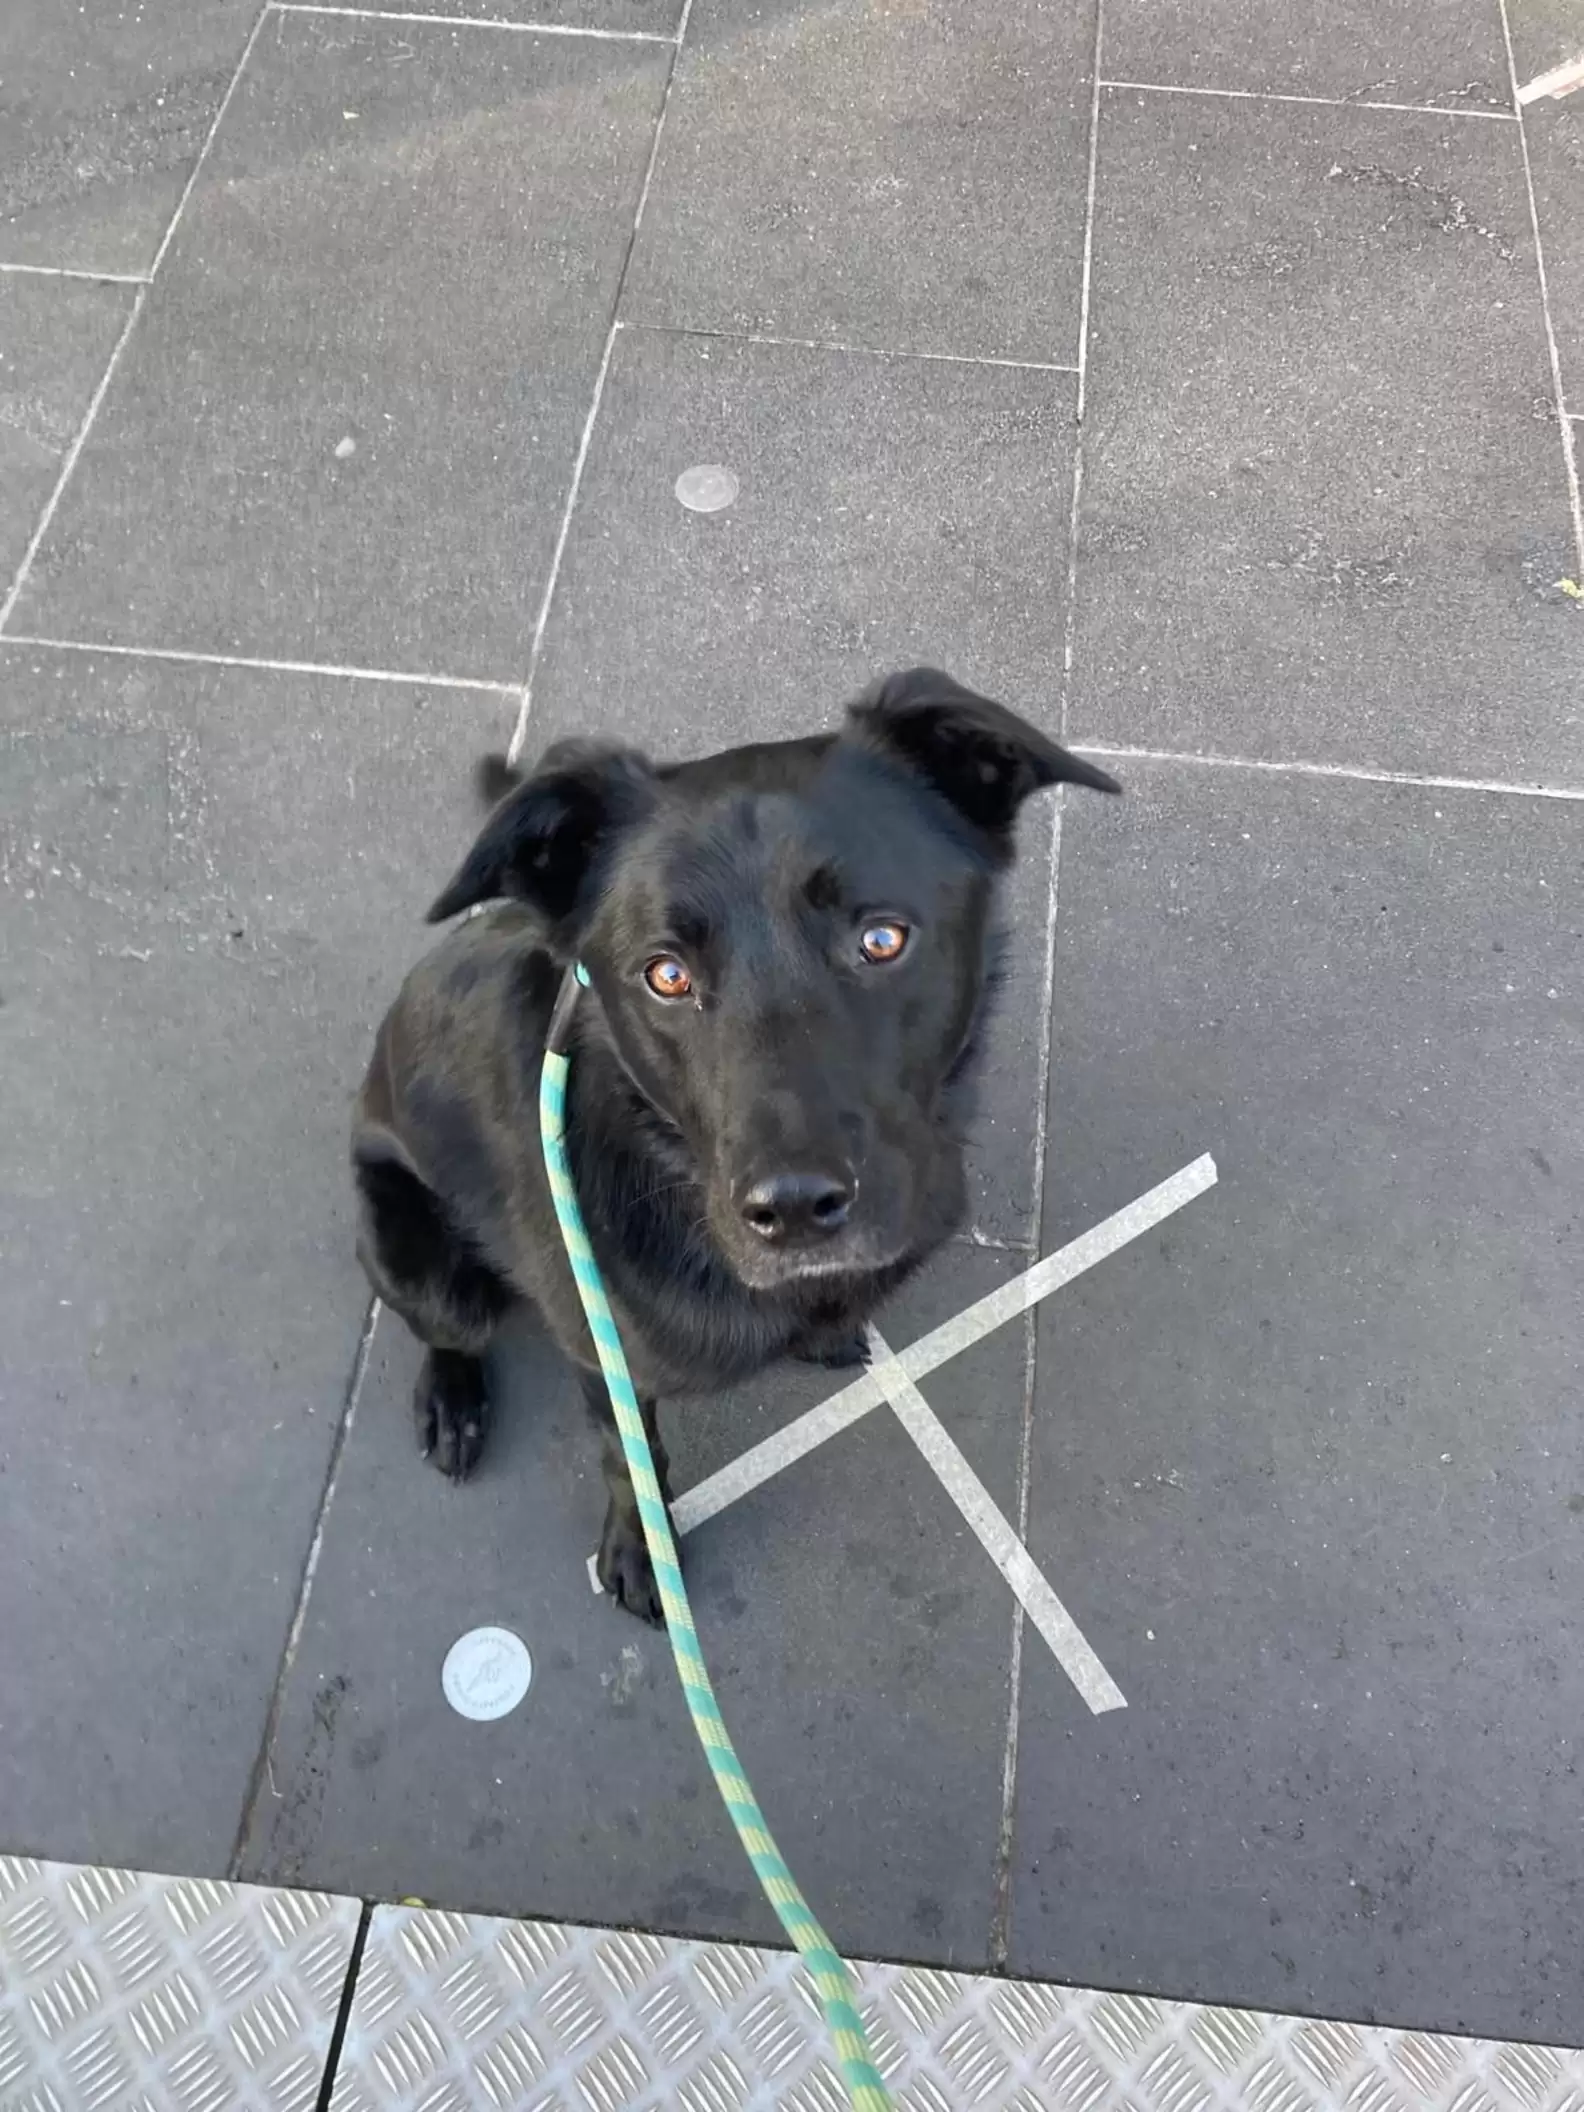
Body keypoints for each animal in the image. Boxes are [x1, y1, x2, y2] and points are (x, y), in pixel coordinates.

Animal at [350, 667, 1115, 1622]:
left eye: (881, 939)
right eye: (666, 975)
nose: (794, 1211)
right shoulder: (601, 1354)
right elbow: (631, 1456)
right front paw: (642, 1547)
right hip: (424, 1259)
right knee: (443, 1328)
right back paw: (451, 1401)